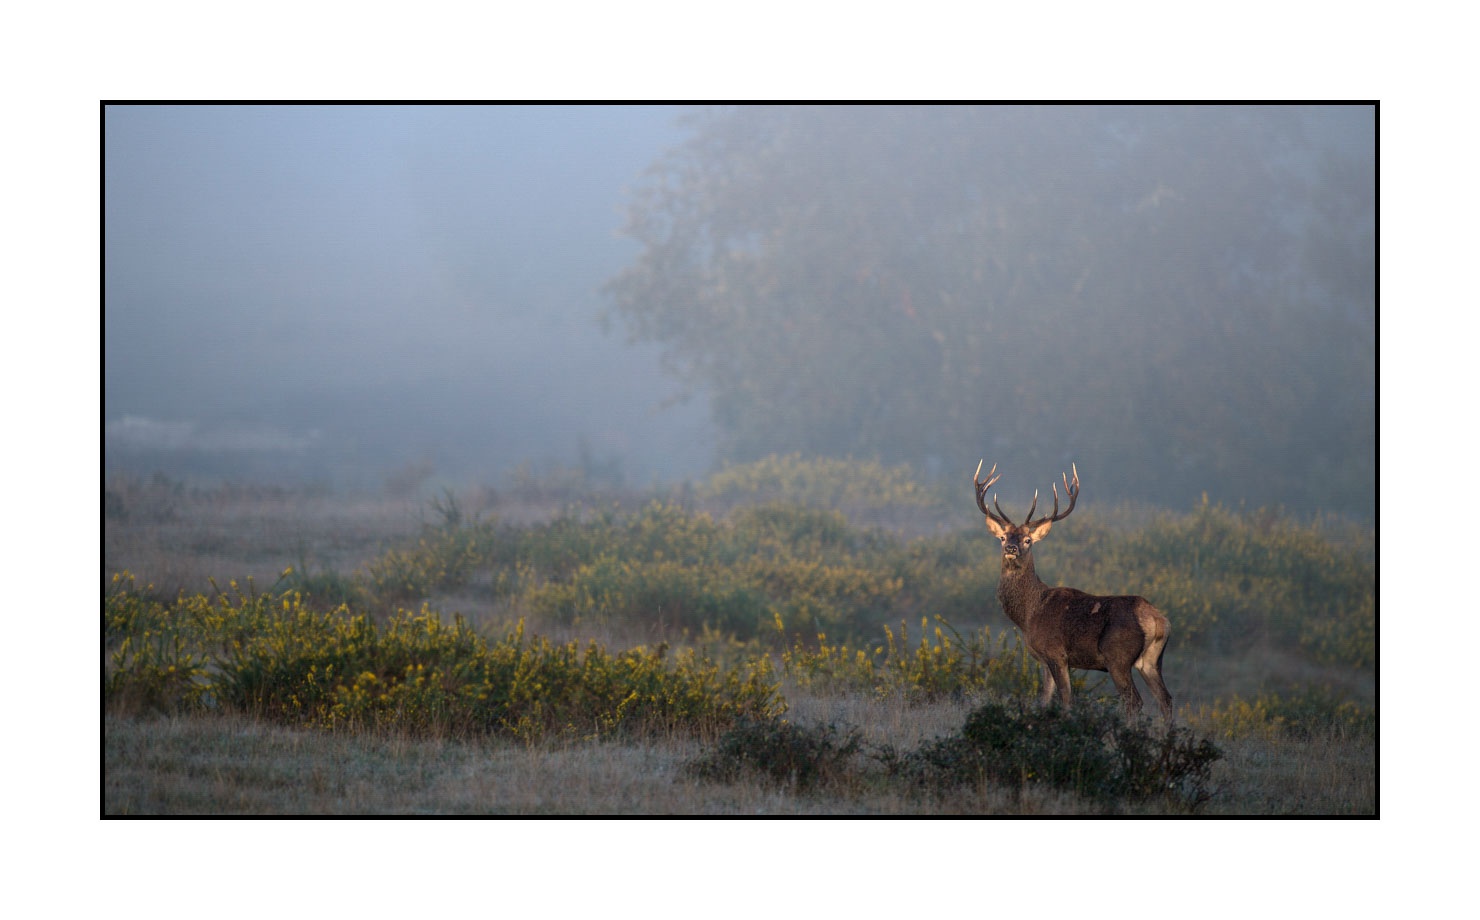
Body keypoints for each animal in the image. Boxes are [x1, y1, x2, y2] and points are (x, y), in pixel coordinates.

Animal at [973, 460, 1173, 721]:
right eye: (1003, 537)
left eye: (1028, 540)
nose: (1011, 548)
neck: (1029, 614)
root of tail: (1157, 620)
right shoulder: (1043, 659)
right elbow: (1044, 700)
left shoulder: (1056, 653)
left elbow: (1067, 701)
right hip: (1151, 661)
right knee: (1166, 700)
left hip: (1117, 657)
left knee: (1134, 702)